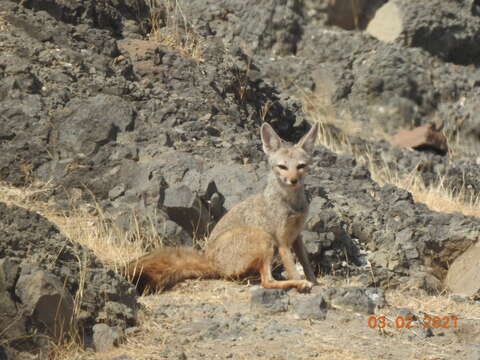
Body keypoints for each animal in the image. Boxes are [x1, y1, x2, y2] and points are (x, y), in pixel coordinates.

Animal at [126, 122, 318, 294]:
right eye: (282, 167)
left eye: (301, 166)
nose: (293, 180)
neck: (291, 203)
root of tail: (210, 261)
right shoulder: (283, 242)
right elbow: (292, 268)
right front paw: (302, 283)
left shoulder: (297, 236)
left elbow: (307, 264)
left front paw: (314, 282)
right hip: (263, 237)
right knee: (267, 282)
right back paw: (296, 284)